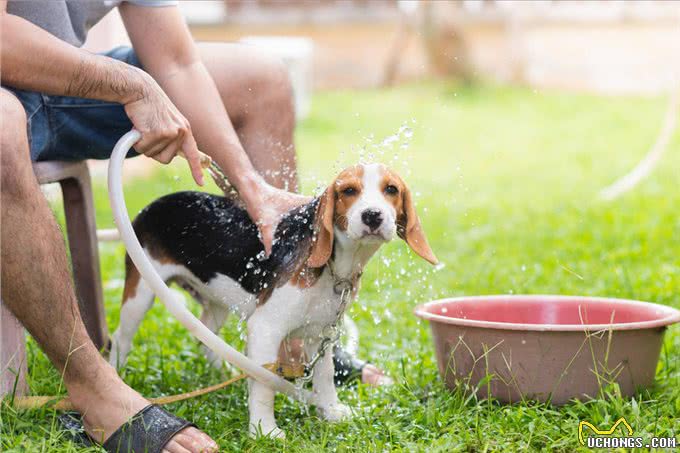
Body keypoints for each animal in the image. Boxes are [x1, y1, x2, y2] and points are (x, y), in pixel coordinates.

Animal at [109, 162, 438, 434]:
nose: (372, 215)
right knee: (120, 338)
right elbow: (266, 384)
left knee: (205, 338)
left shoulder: (321, 334)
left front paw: (330, 411)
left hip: (216, 304)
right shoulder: (265, 329)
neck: (335, 267)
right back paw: (118, 376)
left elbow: (325, 375)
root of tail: (151, 207)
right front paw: (264, 430)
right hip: (141, 292)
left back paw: (225, 371)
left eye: (391, 189)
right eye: (348, 191)